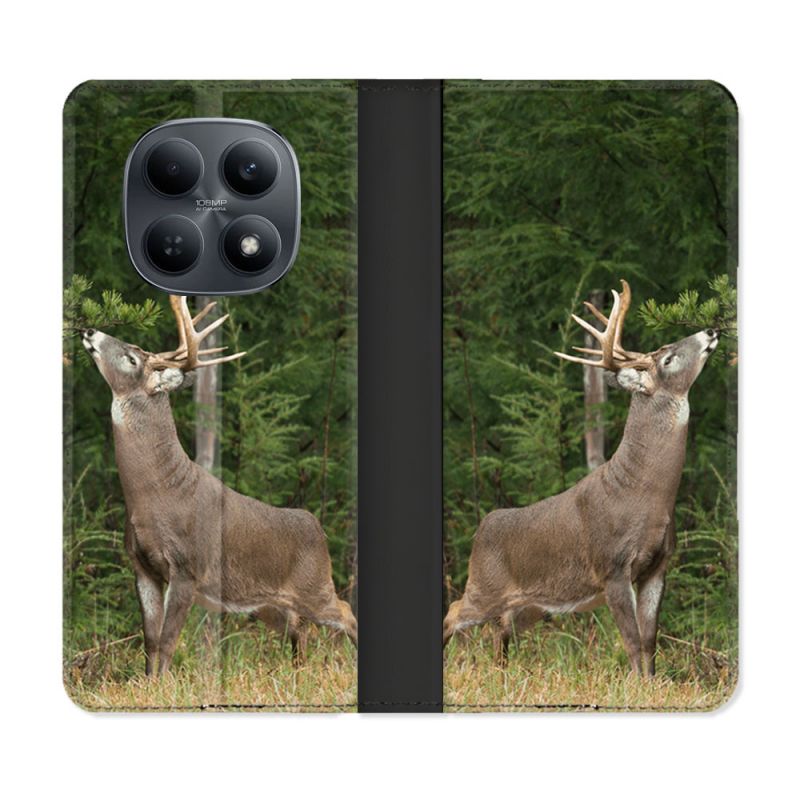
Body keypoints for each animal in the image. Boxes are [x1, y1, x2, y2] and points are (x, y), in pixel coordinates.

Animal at [82, 295, 357, 676]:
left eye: (132, 358)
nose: (89, 329)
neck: (156, 493)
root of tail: (317, 526)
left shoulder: (187, 567)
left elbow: (167, 641)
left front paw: (163, 685)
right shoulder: (141, 566)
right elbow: (149, 640)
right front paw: (148, 683)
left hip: (315, 585)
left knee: (346, 611)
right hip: (267, 603)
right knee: (300, 628)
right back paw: (297, 672)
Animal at [443, 280, 719, 676]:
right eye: (667, 358)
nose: (710, 330)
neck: (646, 494)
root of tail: (482, 528)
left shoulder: (658, 565)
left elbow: (650, 641)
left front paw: (652, 683)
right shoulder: (612, 566)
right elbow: (632, 641)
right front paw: (637, 685)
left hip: (530, 604)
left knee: (501, 629)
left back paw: (503, 672)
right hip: (484, 585)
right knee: (453, 612)